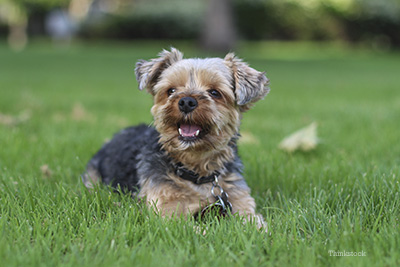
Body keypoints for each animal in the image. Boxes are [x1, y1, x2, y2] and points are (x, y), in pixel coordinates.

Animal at [83, 47, 270, 228]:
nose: (186, 102)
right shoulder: (168, 212)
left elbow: (254, 224)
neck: (196, 171)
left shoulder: (238, 199)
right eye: (171, 90)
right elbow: (192, 230)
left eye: (215, 92)